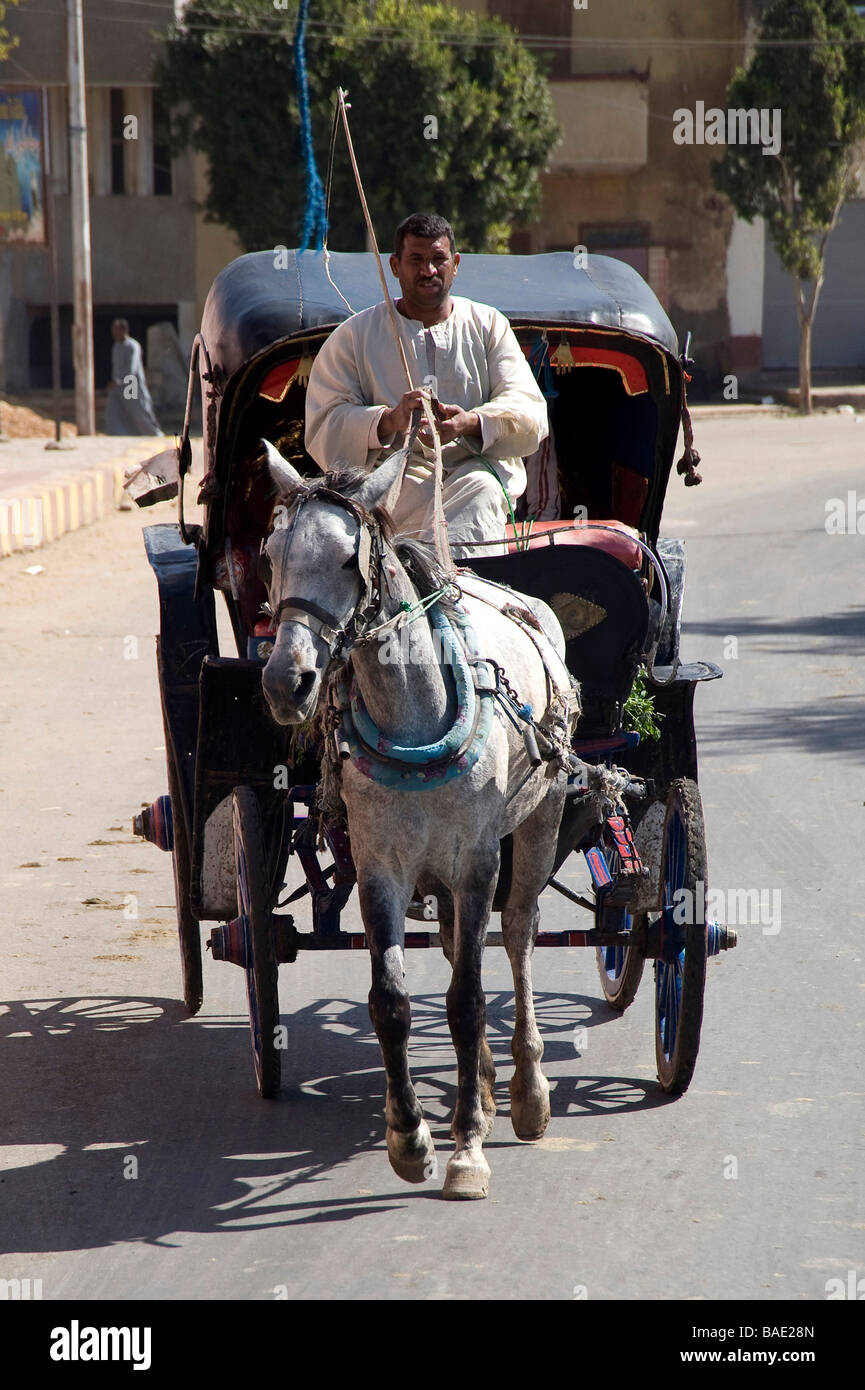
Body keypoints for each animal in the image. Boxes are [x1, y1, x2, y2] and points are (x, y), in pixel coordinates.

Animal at [258, 442, 584, 1195]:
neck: (417, 710)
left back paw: (526, 1091)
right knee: (460, 947)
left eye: (346, 560)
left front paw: (466, 1150)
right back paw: (486, 1089)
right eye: (269, 554)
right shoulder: (382, 866)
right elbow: (392, 1002)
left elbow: (465, 1001)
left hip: (539, 820)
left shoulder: (475, 862)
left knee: (517, 936)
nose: (286, 682)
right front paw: (410, 1137)